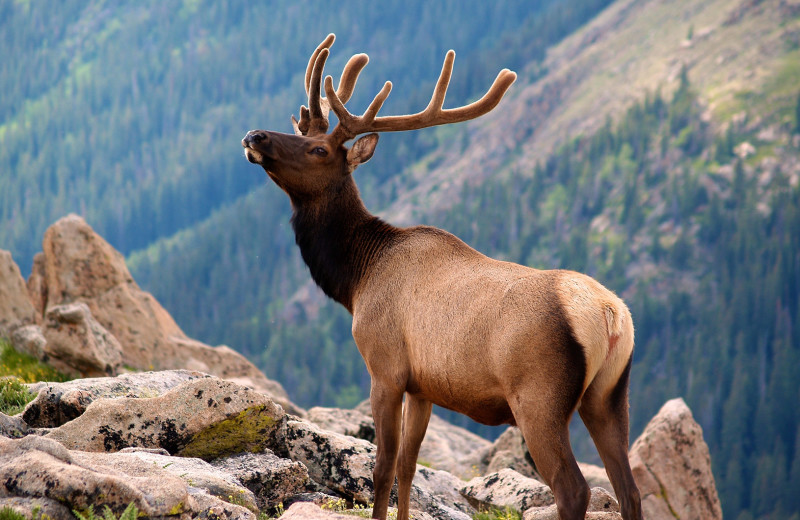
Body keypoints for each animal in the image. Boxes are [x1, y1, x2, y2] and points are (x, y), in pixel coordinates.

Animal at [242, 33, 644, 520]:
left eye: (319, 149)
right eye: (304, 134)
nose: (254, 135)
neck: (356, 279)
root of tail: (608, 314)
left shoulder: (385, 366)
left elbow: (382, 467)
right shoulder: (424, 387)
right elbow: (408, 467)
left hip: (539, 397)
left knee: (574, 489)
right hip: (609, 395)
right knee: (630, 490)